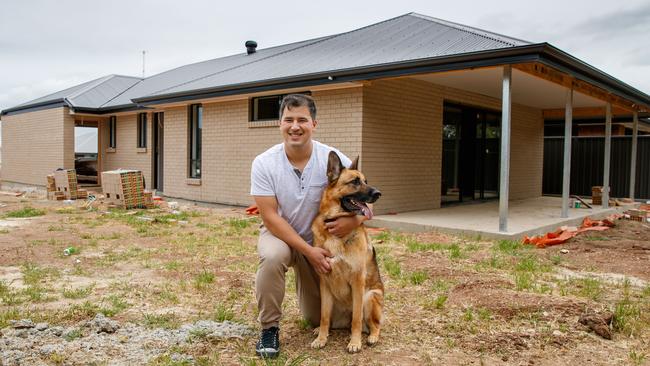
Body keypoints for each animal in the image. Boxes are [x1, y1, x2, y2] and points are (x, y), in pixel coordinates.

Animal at [308, 151, 380, 352]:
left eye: (365, 181)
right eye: (354, 182)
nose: (378, 193)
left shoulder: (357, 281)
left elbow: (356, 319)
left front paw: (354, 342)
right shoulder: (324, 282)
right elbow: (324, 317)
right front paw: (322, 338)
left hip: (370, 297)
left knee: (373, 325)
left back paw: (371, 337)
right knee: (331, 321)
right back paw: (318, 330)